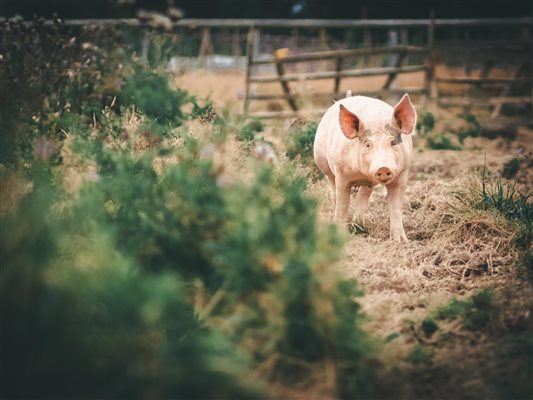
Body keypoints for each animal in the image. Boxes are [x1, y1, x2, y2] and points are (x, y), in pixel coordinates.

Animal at [312, 94, 416, 242]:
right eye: (367, 144)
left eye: (393, 142)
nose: (383, 168)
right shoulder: (341, 174)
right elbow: (342, 204)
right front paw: (341, 236)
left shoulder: (402, 174)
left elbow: (395, 208)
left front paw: (401, 241)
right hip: (323, 163)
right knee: (333, 190)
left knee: (364, 194)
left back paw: (359, 224)